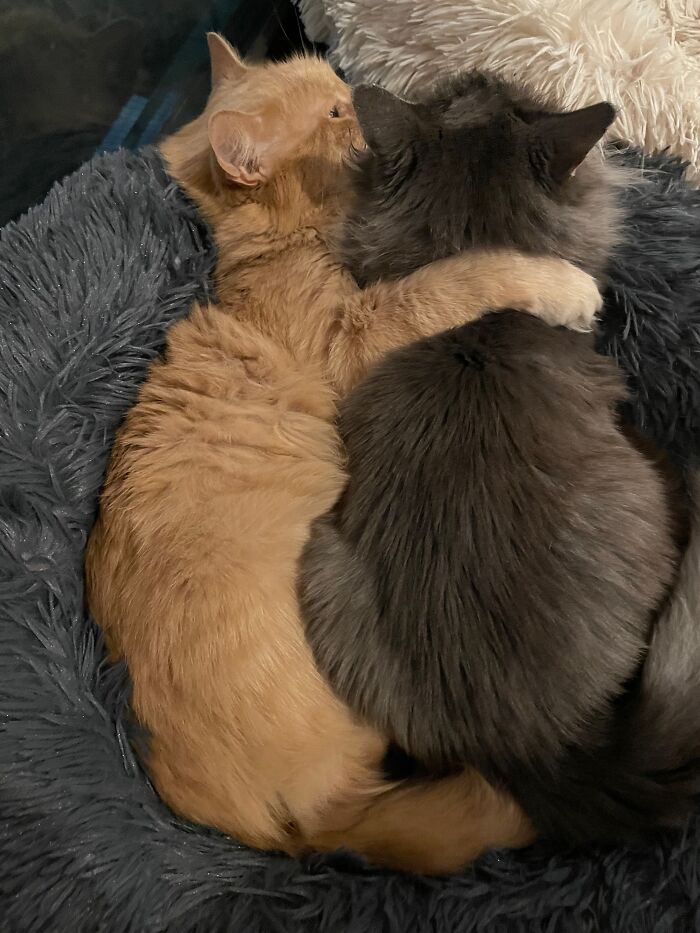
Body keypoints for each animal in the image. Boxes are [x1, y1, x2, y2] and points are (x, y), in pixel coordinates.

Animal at [86, 34, 600, 872]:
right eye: (333, 112)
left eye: (335, 88)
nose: (358, 89)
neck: (266, 256)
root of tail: (273, 832)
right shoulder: (363, 333)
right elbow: (460, 276)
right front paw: (563, 284)